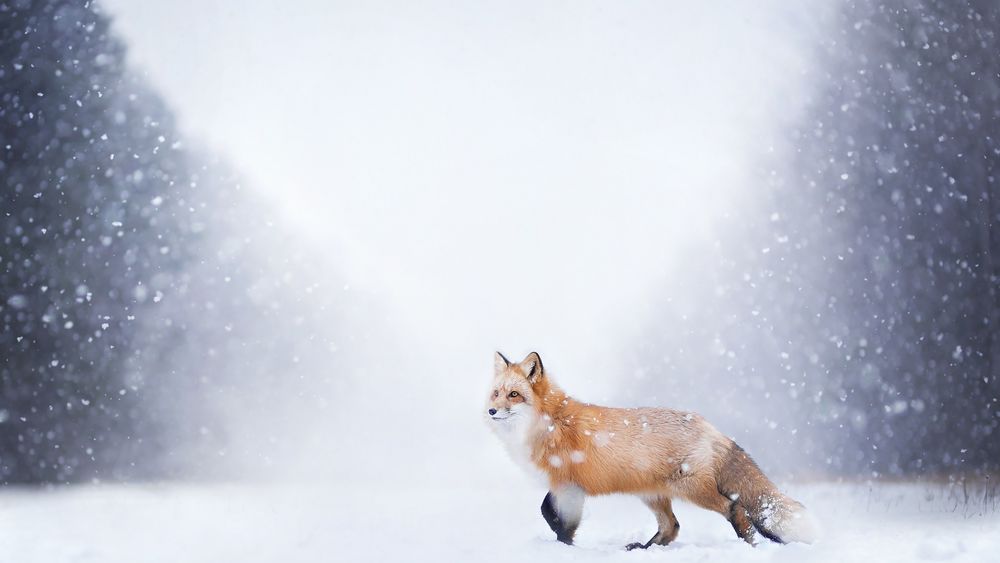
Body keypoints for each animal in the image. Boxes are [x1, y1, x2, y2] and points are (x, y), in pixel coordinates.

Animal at [486, 352, 820, 552]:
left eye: (514, 395)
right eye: (496, 393)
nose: (491, 411)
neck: (550, 423)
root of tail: (711, 427)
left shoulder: (568, 486)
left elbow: (558, 519)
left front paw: (565, 548)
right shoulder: (562, 486)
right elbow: (546, 510)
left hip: (692, 490)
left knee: (734, 508)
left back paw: (748, 545)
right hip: (652, 494)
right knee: (671, 527)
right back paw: (646, 549)